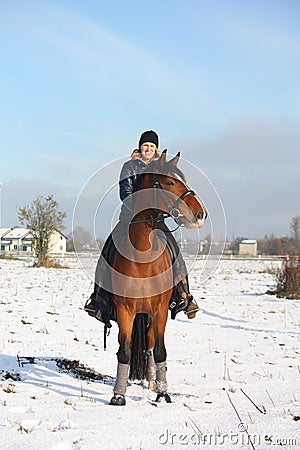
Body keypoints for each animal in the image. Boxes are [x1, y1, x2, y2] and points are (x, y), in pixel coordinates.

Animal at [109, 149, 205, 406]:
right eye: (169, 182)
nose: (200, 214)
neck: (142, 255)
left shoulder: (160, 309)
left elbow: (160, 349)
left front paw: (163, 392)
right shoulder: (125, 309)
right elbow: (125, 351)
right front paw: (118, 395)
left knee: (152, 345)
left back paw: (153, 383)